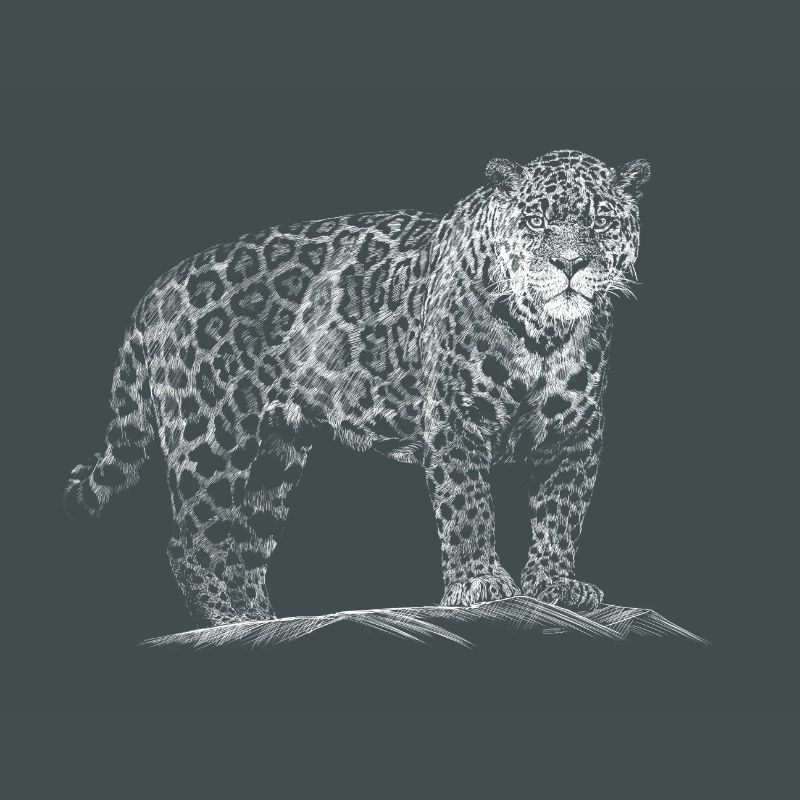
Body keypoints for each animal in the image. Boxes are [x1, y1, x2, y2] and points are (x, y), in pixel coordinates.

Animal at [64, 149, 650, 628]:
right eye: (535, 220)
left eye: (601, 221)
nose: (570, 264)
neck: (545, 334)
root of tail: (154, 291)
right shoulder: (455, 420)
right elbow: (467, 506)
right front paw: (480, 584)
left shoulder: (575, 432)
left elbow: (561, 512)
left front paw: (555, 585)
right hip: (211, 436)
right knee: (191, 542)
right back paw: (226, 622)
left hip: (276, 453)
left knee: (246, 548)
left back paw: (262, 621)